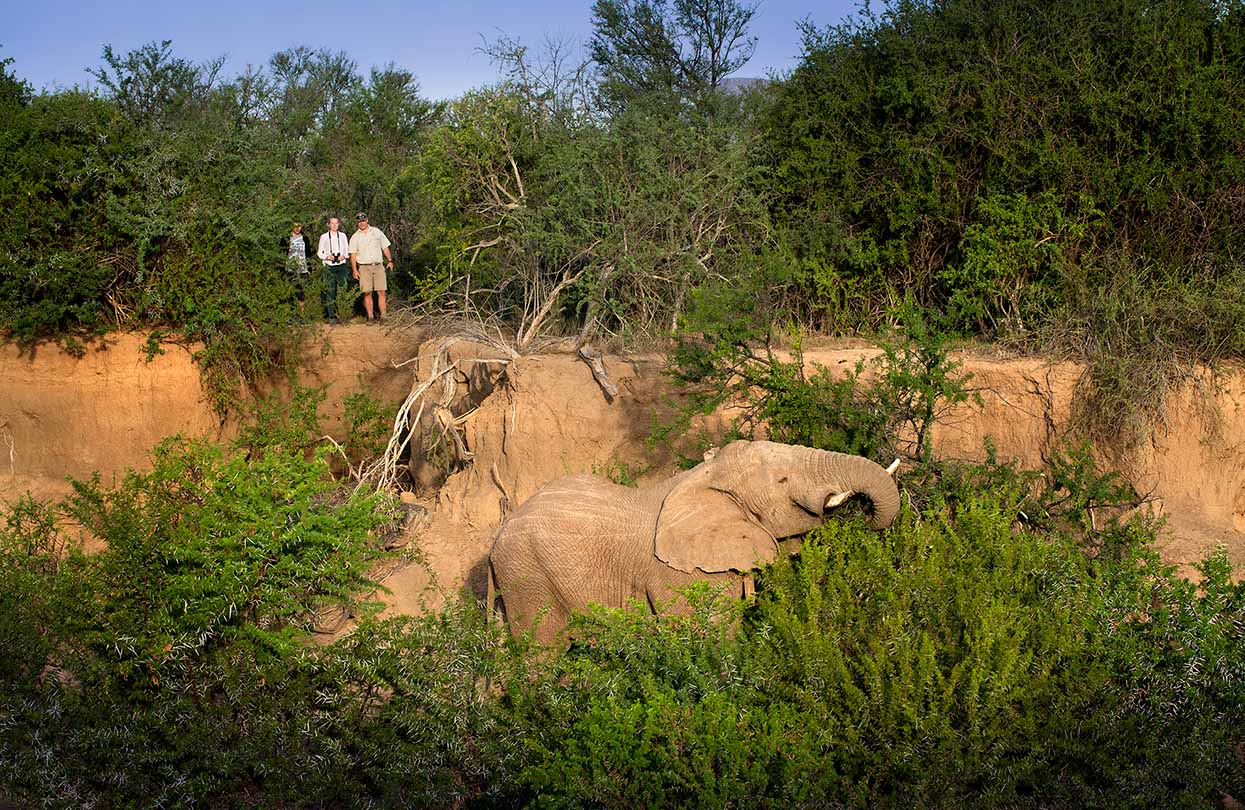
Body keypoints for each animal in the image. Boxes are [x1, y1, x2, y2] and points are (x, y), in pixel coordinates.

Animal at [480, 440, 901, 642]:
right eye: (782, 480)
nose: (865, 514)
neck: (705, 476)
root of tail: (495, 538)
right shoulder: (679, 575)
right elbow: (712, 637)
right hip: (529, 581)